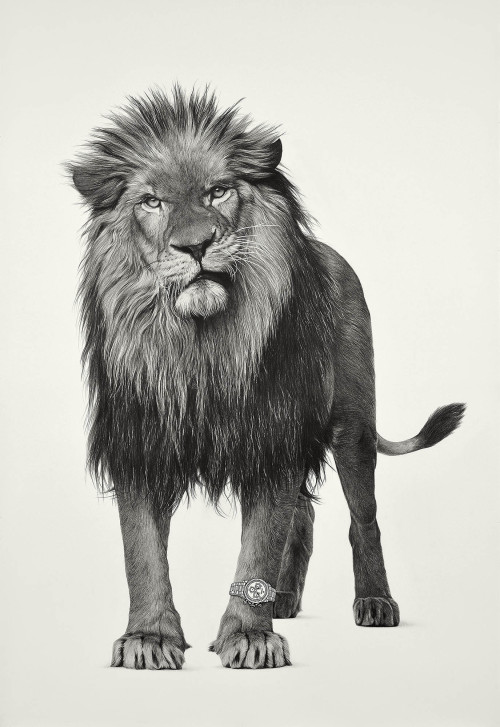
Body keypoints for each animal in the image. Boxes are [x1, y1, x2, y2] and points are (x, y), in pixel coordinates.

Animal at [69, 87, 465, 670]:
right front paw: (150, 638)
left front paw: (249, 638)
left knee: (363, 518)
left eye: (218, 191)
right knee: (303, 516)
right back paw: (282, 598)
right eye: (151, 202)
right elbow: (141, 553)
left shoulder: (271, 438)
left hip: (352, 426)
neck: (201, 344)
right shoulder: (142, 443)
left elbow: (258, 546)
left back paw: (374, 601)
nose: (195, 246)